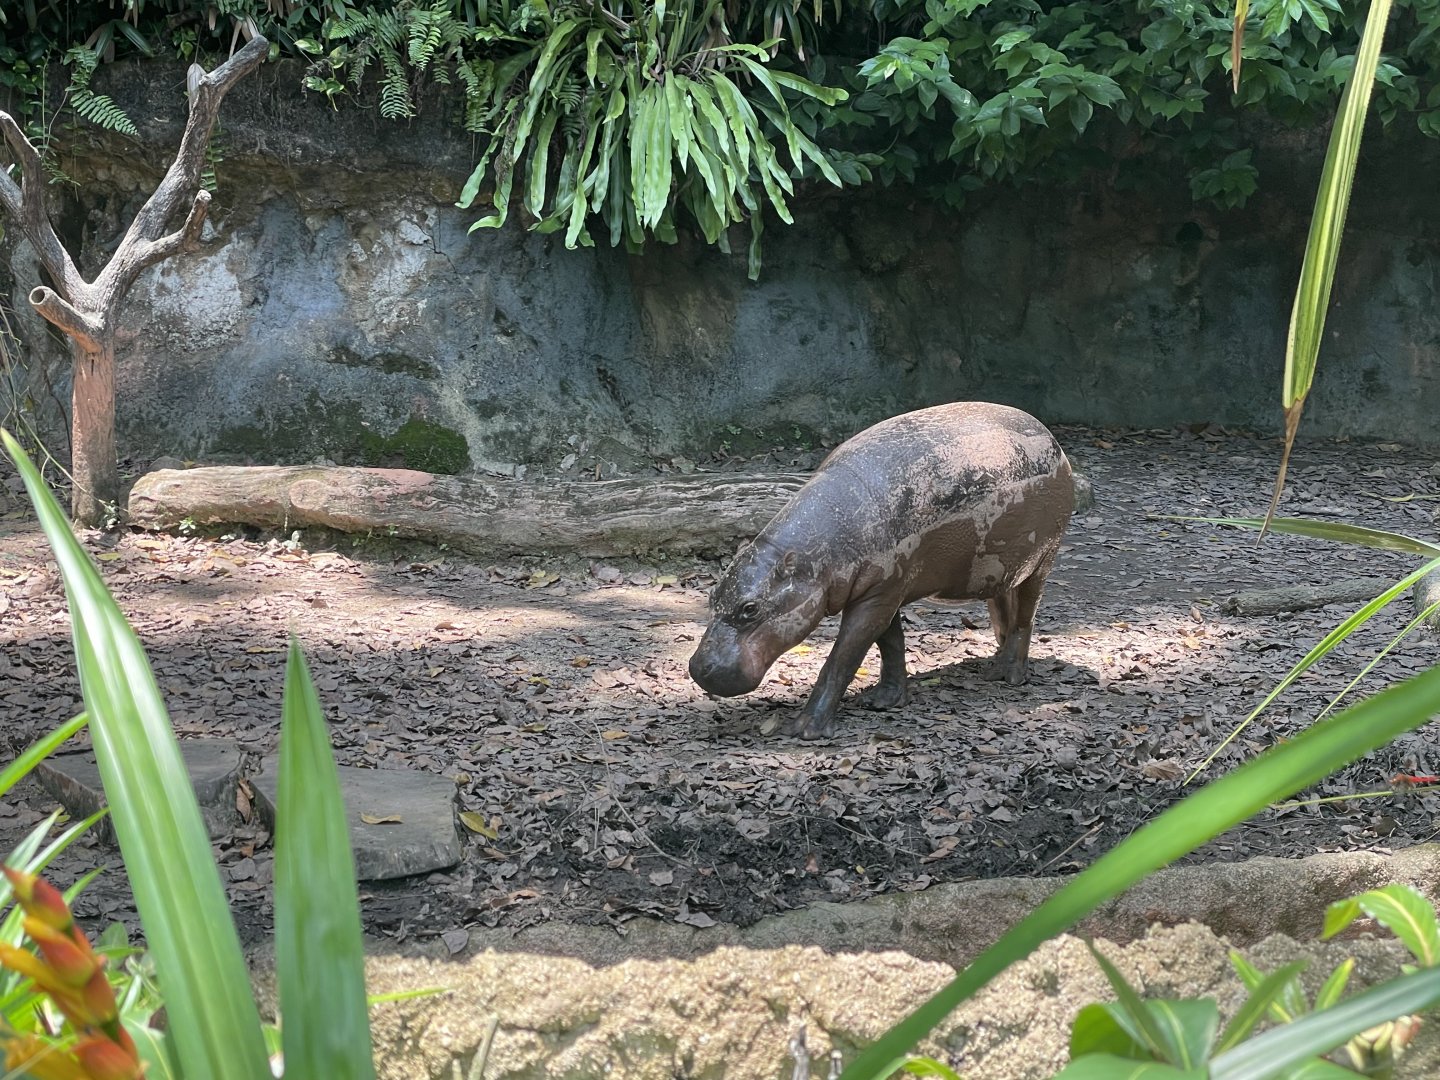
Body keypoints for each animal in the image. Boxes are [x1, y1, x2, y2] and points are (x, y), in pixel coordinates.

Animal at [688, 402, 1073, 739]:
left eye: (750, 609)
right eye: (712, 595)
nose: (699, 669)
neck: (818, 553)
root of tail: (1053, 440)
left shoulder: (877, 597)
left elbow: (843, 656)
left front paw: (805, 730)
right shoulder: (883, 589)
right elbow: (891, 643)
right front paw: (885, 701)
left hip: (1044, 558)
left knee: (1025, 617)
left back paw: (1008, 676)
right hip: (1002, 567)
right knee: (1003, 606)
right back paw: (994, 662)